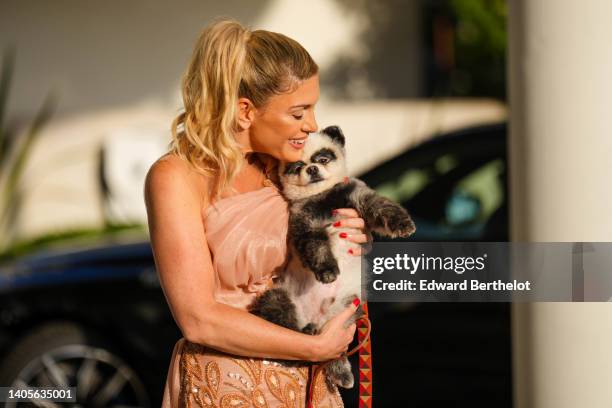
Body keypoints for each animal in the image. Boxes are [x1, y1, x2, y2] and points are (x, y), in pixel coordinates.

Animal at [249, 126, 416, 390]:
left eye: (322, 159)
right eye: (297, 166)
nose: (312, 169)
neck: (323, 197)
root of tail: (316, 318)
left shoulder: (357, 197)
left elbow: (381, 206)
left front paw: (402, 224)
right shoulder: (306, 224)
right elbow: (316, 246)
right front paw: (327, 270)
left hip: (346, 308)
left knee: (333, 350)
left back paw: (341, 371)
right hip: (280, 297)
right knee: (282, 319)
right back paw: (304, 334)